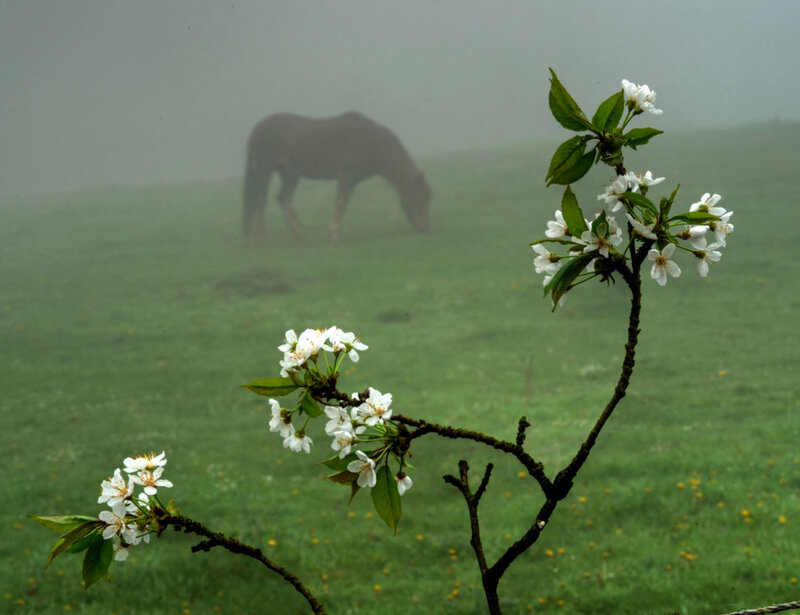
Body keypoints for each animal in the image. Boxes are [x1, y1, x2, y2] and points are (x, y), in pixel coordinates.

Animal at [242, 112, 431, 242]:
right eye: (421, 198)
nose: (425, 227)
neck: (370, 141)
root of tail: (255, 131)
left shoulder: (351, 181)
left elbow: (342, 204)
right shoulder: (346, 178)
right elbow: (340, 203)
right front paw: (334, 233)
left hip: (291, 175)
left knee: (283, 199)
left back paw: (298, 232)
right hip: (265, 172)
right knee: (261, 201)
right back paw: (261, 236)